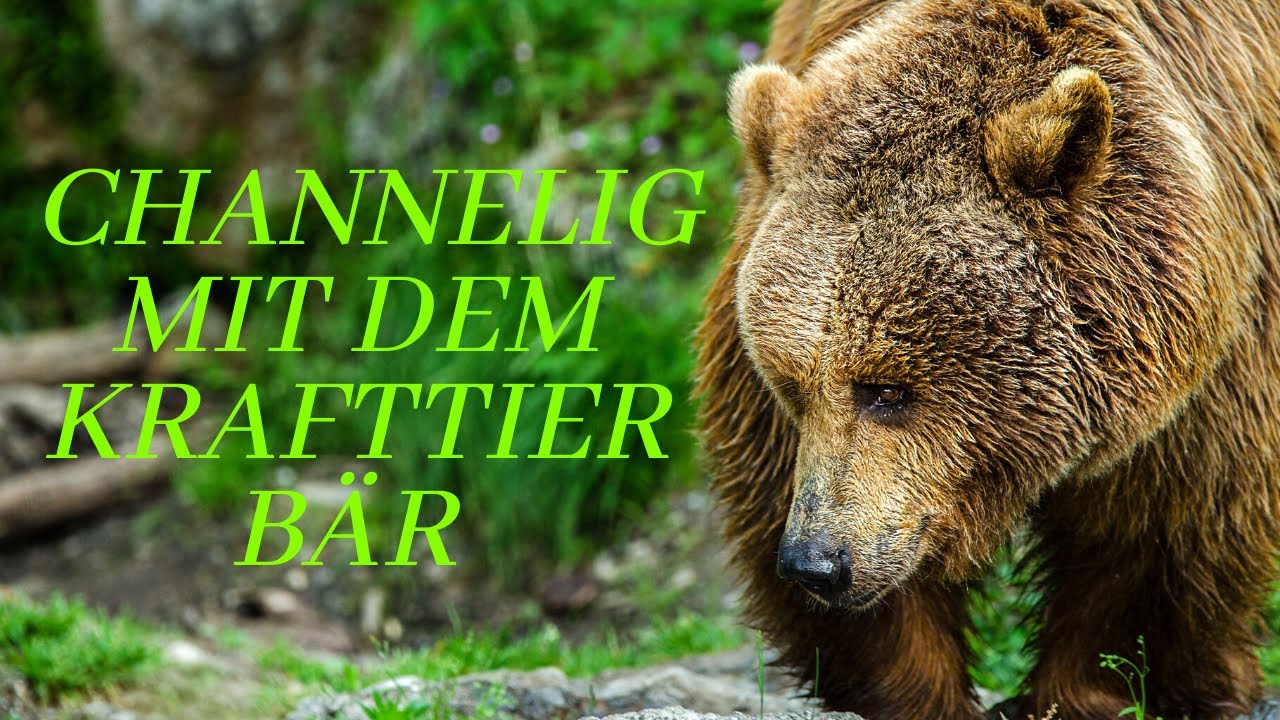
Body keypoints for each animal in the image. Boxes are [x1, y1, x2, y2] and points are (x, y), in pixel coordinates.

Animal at [694, 1, 1280, 719]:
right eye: (790, 384)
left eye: (887, 389)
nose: (817, 562)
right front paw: (917, 690)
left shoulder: (1214, 352)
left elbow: (1160, 530)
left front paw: (1091, 689)